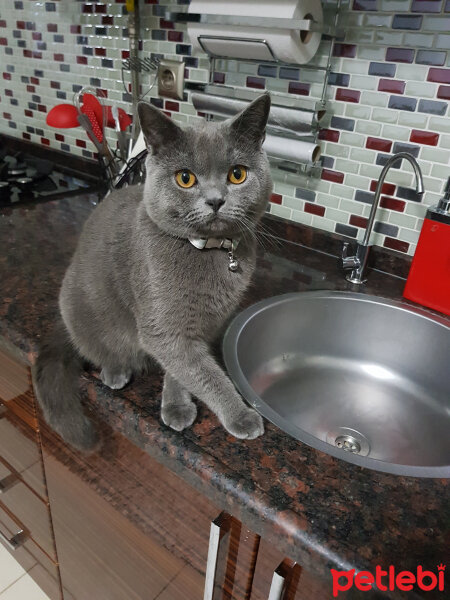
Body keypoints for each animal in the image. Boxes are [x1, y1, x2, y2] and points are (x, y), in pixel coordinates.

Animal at [33, 92, 272, 450]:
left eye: (237, 174)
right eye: (185, 178)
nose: (216, 200)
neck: (211, 250)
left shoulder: (205, 326)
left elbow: (184, 369)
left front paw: (175, 405)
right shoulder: (164, 326)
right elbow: (205, 374)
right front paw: (241, 415)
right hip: (75, 304)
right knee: (96, 348)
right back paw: (115, 371)